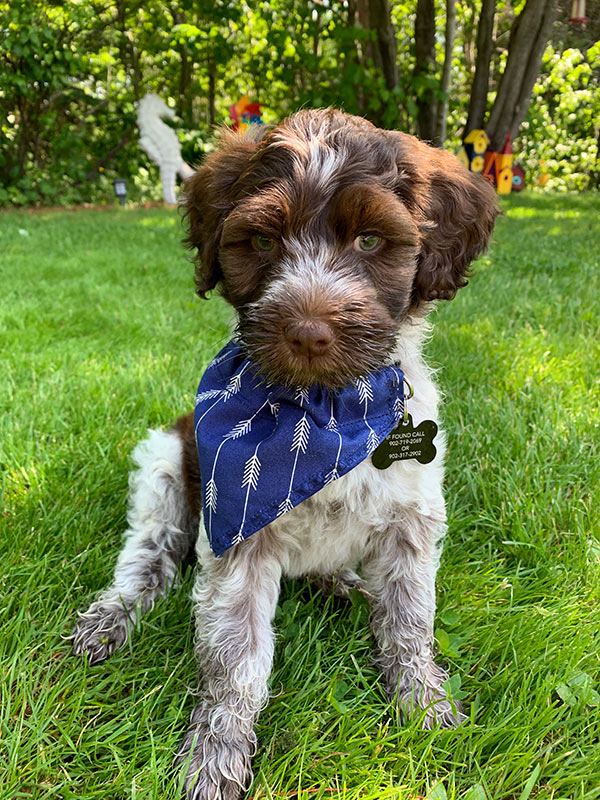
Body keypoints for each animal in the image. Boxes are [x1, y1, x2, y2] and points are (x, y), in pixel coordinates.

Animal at [72, 108, 499, 800]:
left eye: (371, 242)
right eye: (265, 242)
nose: (307, 332)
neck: (323, 412)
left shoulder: (410, 520)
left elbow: (411, 620)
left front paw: (425, 706)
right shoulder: (237, 535)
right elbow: (236, 659)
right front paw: (216, 756)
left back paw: (343, 584)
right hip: (165, 464)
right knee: (146, 561)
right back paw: (111, 617)